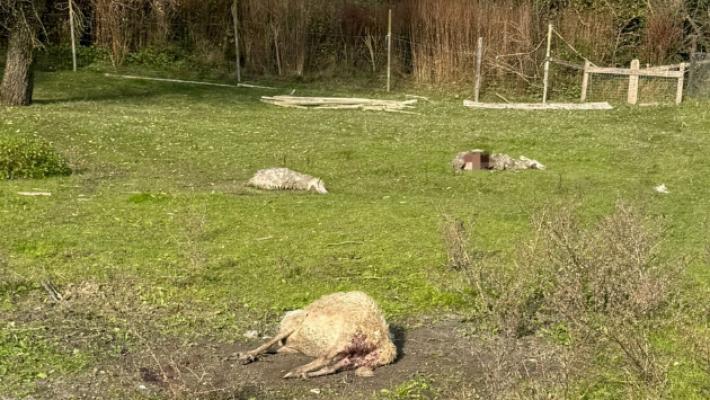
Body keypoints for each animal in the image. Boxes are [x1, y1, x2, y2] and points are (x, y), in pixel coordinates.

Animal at [238, 291, 397, 379]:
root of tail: (386, 346)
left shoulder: (295, 323)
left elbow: (269, 342)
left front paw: (246, 355)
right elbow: (274, 347)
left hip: (347, 336)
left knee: (325, 359)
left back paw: (295, 371)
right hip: (358, 358)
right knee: (332, 367)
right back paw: (305, 374)